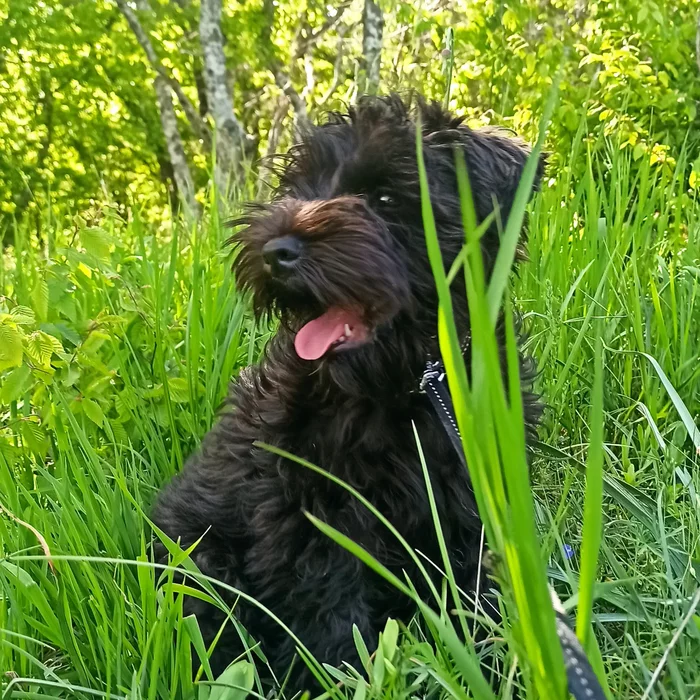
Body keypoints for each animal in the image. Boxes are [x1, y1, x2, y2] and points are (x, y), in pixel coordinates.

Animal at [153, 93, 544, 688]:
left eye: (383, 197)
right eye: (299, 188)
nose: (276, 250)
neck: (411, 384)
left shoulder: (469, 496)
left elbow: (476, 588)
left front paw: (497, 660)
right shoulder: (310, 518)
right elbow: (331, 610)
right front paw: (341, 678)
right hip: (202, 562)